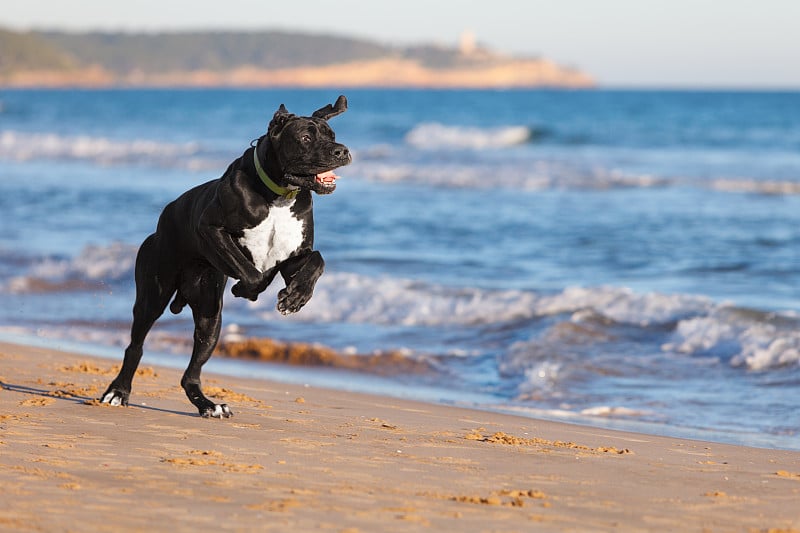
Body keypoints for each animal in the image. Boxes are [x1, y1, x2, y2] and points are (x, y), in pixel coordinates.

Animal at [100, 97, 350, 418]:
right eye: (306, 138)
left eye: (332, 135)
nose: (341, 150)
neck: (279, 195)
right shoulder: (211, 229)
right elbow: (254, 274)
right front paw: (246, 288)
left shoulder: (295, 256)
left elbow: (317, 260)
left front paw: (296, 297)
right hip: (152, 296)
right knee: (136, 346)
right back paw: (118, 392)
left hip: (210, 317)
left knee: (190, 375)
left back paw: (208, 405)